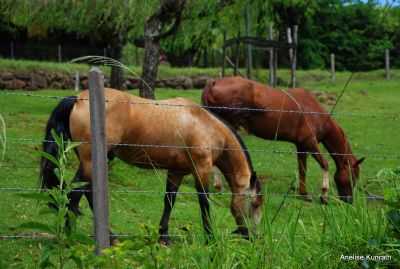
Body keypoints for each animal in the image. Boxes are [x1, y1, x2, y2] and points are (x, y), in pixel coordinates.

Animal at [39, 87, 262, 243]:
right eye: (255, 204)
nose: (253, 236)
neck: (204, 124)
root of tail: (78, 99)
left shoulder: (176, 172)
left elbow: (169, 202)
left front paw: (164, 236)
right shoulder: (201, 170)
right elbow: (204, 203)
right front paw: (210, 238)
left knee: (83, 194)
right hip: (91, 163)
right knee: (74, 195)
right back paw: (77, 235)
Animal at [202, 76, 364, 202]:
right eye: (353, 176)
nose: (349, 200)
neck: (315, 113)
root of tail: (214, 82)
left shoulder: (301, 146)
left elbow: (302, 170)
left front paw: (304, 194)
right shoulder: (309, 143)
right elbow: (324, 164)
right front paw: (323, 195)